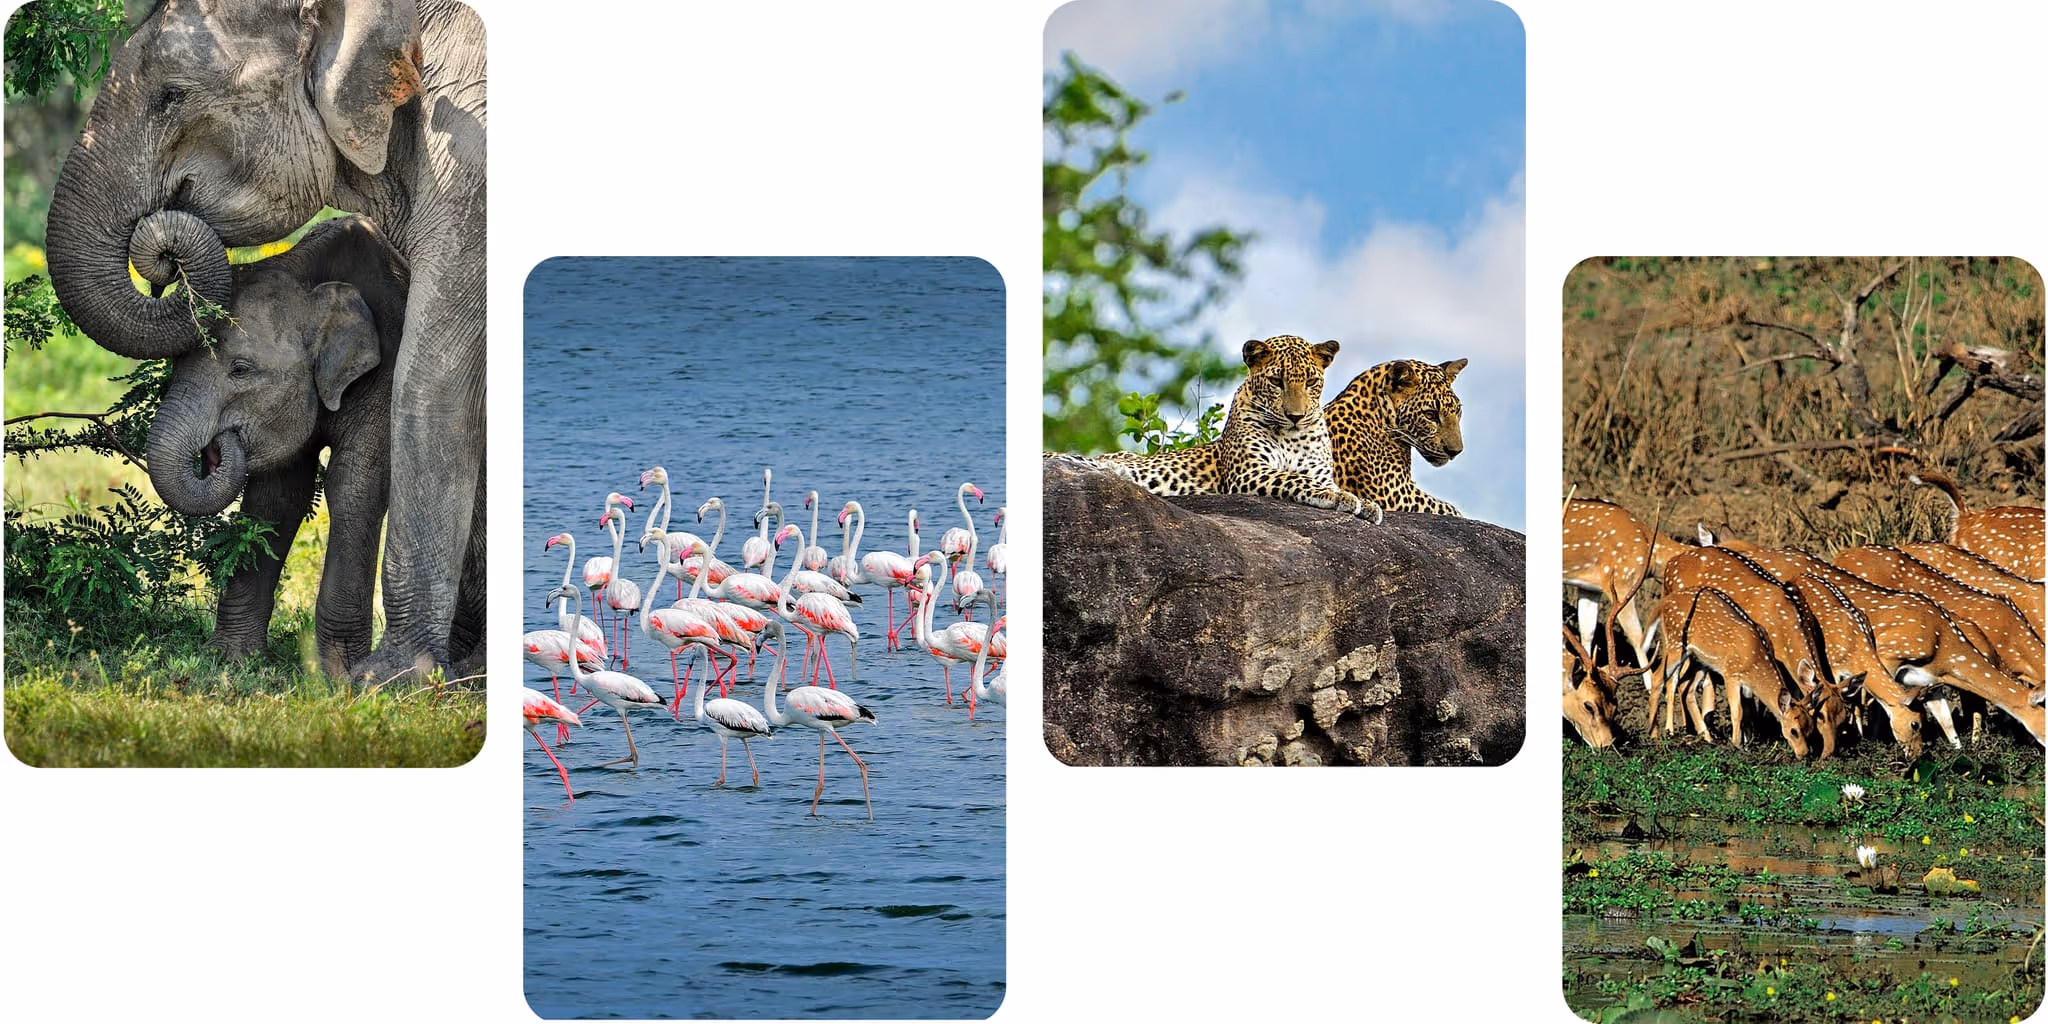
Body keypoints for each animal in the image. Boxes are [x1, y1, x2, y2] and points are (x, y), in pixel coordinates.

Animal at [148, 216, 404, 671]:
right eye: (175, 360)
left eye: (241, 369)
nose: (217, 446)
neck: (309, 278)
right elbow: (278, 495)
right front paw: (232, 660)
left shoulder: (385, 377)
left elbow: (354, 485)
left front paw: (342, 675)